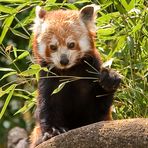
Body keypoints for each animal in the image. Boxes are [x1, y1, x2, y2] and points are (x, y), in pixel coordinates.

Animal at [29, 4, 121, 147]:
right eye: (53, 47)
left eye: (71, 44)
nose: (64, 60)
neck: (70, 71)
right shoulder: (49, 78)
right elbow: (47, 105)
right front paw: (53, 131)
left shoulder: (91, 70)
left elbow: (98, 110)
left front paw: (110, 78)